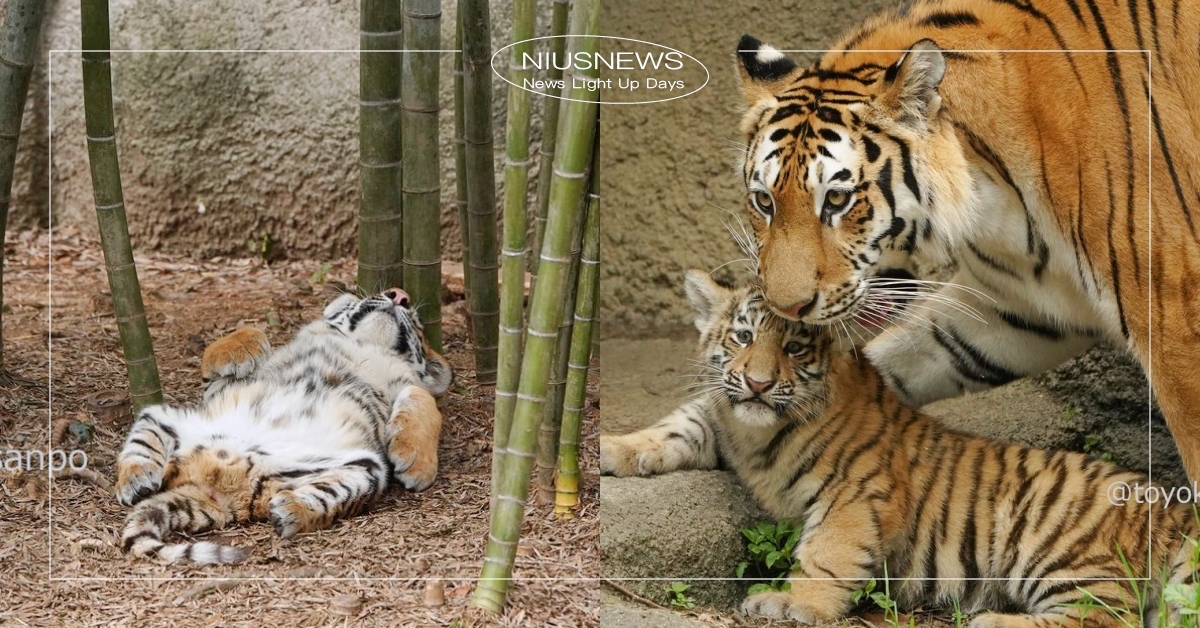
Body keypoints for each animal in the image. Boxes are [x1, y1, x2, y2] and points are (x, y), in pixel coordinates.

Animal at [115, 288, 452, 564]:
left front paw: (416, 465)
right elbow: (248, 331)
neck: (364, 345)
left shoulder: (404, 388)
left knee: (327, 496)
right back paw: (136, 480)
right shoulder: (221, 389)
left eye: (417, 324)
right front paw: (241, 350)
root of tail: (223, 491)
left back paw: (291, 510)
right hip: (162, 417)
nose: (399, 294)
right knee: (138, 449)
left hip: (365, 469)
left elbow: (422, 396)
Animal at [601, 270, 1199, 627]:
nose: (758, 384)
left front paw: (791, 603)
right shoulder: (720, 415)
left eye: (795, 347)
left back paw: (990, 620)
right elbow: (676, 427)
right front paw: (611, 448)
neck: (757, 431)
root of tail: (1173, 505)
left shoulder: (854, 492)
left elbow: (826, 556)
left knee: (1104, 617)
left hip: (1060, 548)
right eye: (743, 337)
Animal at [731, 1, 1200, 484]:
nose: (787, 307)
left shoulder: (1176, 314)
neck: (996, 197)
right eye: (764, 201)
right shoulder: (1015, 308)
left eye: (838, 200)